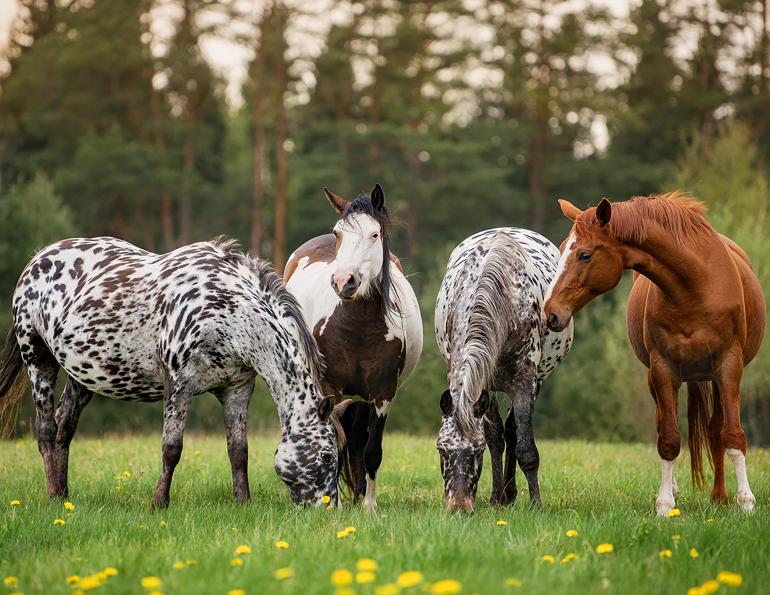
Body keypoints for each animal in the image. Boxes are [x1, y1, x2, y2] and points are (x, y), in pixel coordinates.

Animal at [0, 237, 348, 508]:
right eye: (327, 456)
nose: (329, 510)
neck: (228, 310)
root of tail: (38, 259)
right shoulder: (179, 385)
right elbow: (172, 449)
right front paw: (159, 502)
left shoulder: (237, 389)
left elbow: (239, 450)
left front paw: (243, 502)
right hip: (38, 359)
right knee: (46, 429)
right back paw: (52, 495)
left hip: (83, 374)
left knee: (65, 427)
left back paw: (64, 495)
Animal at [284, 184, 423, 511]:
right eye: (339, 233)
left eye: (374, 233)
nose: (342, 281)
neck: (357, 326)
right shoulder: (329, 389)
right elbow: (333, 441)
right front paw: (331, 502)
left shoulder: (383, 394)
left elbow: (372, 450)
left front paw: (369, 506)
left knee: (359, 439)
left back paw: (360, 494)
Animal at [434, 228, 573, 513]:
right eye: (442, 450)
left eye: (476, 452)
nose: (459, 506)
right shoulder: (481, 385)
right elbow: (494, 437)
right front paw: (497, 497)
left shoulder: (525, 382)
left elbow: (526, 450)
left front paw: (536, 504)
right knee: (502, 433)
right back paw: (504, 495)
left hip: (534, 382)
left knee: (514, 431)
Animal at [544, 193, 766, 514]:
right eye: (562, 250)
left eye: (584, 255)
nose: (550, 313)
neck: (695, 287)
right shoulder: (663, 369)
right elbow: (669, 439)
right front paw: (664, 504)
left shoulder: (729, 367)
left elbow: (732, 434)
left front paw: (746, 502)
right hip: (658, 378)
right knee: (666, 423)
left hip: (713, 377)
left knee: (715, 430)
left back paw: (720, 497)